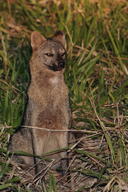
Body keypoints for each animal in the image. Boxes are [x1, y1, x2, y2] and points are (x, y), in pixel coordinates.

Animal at [8, 30, 70, 174]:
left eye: (63, 54)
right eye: (49, 54)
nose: (62, 64)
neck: (50, 97)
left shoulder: (63, 127)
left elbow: (65, 159)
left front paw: (68, 177)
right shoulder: (36, 129)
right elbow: (38, 160)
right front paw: (39, 177)